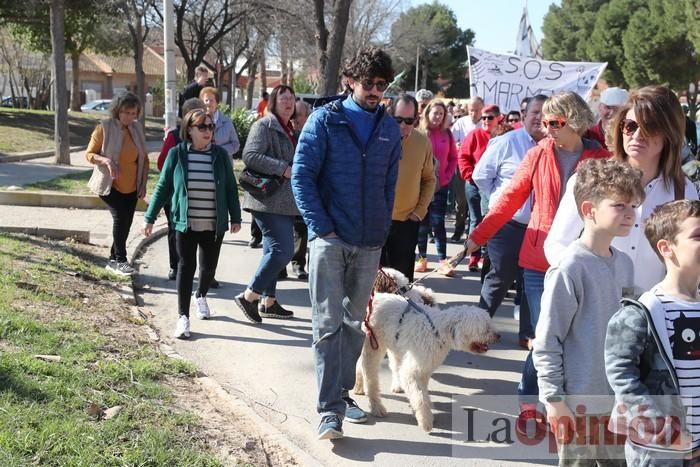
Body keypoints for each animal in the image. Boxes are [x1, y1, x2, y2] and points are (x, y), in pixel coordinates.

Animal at [356, 268, 498, 434]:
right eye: (486, 328)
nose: (498, 336)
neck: (437, 330)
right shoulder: (412, 371)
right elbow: (420, 397)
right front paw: (426, 421)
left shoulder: (424, 369)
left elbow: (421, 393)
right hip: (373, 346)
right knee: (370, 377)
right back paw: (377, 407)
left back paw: (359, 387)